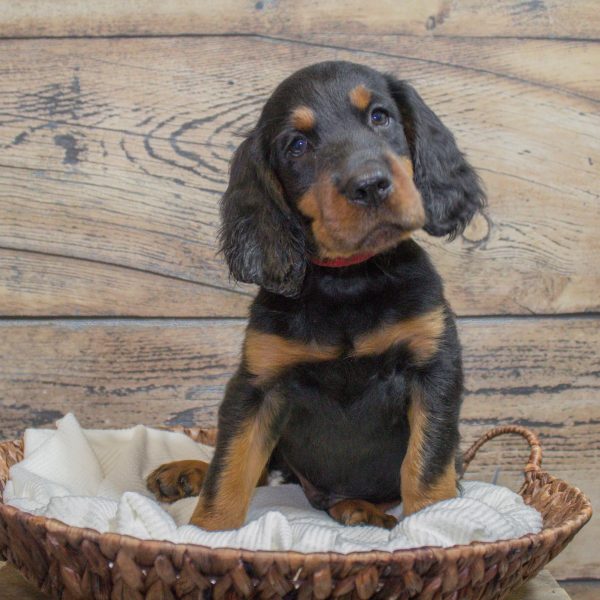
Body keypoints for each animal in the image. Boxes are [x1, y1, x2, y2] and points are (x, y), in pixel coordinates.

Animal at [148, 61, 486, 528]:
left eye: (380, 116)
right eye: (298, 145)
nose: (370, 185)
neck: (348, 280)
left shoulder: (433, 370)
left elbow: (428, 463)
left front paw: (434, 524)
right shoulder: (257, 386)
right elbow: (230, 466)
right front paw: (207, 532)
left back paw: (361, 509)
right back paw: (189, 471)